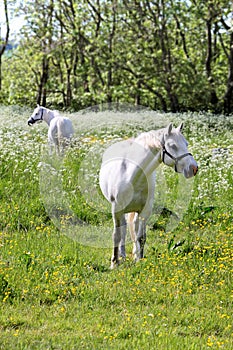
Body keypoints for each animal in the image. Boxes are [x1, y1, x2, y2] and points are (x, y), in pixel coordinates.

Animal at [99, 123, 198, 268]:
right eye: (173, 146)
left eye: (186, 143)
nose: (194, 168)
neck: (132, 176)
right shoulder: (116, 209)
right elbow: (116, 235)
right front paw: (114, 263)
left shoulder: (145, 211)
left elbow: (141, 237)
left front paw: (139, 260)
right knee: (123, 229)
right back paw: (122, 256)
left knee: (133, 227)